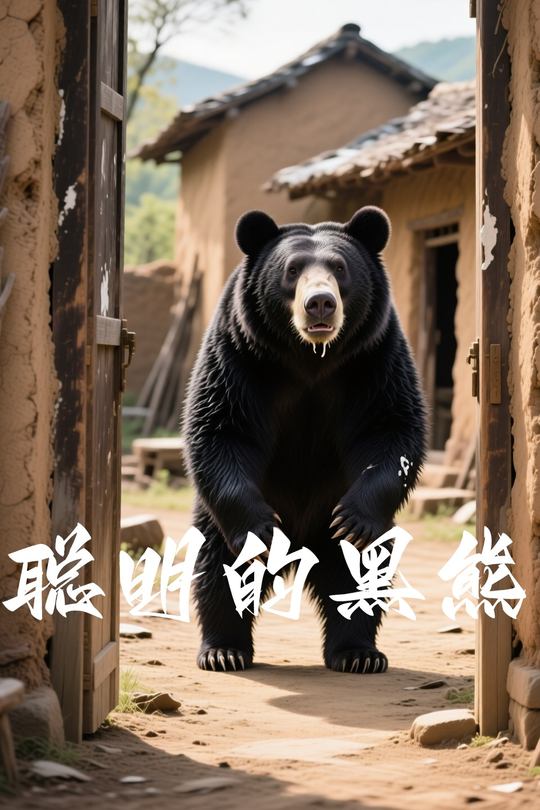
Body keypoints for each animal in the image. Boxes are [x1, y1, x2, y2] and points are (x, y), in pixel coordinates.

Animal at [182, 207, 427, 674]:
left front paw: (353, 519)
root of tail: (301, 546)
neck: (310, 358)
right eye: (292, 270)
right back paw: (224, 649)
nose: (320, 302)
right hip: (221, 520)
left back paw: (358, 653)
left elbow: (392, 428)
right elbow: (222, 427)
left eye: (340, 268)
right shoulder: (240, 353)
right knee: (221, 565)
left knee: (360, 572)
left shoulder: (375, 356)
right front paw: (262, 529)